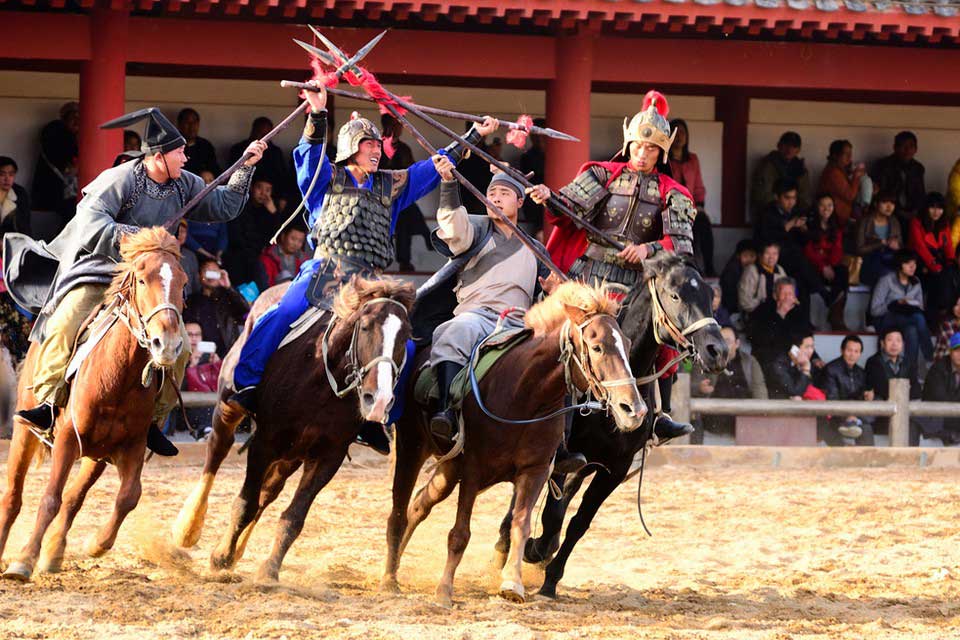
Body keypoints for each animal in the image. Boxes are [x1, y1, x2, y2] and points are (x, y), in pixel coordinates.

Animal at [0, 227, 188, 581]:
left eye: (183, 282)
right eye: (142, 278)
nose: (167, 343)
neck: (118, 378)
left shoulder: (131, 446)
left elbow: (128, 496)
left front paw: (95, 544)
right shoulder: (65, 440)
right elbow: (50, 497)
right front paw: (24, 560)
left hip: (96, 455)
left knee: (75, 497)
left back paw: (55, 553)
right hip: (24, 432)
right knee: (14, 496)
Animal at [175, 275, 415, 582]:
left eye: (405, 335)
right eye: (365, 326)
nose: (380, 399)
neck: (321, 382)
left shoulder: (329, 456)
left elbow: (294, 517)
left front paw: (269, 569)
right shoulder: (265, 441)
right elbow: (245, 504)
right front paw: (220, 558)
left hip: (292, 454)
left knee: (268, 492)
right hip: (229, 409)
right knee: (216, 454)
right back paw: (188, 528)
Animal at [381, 281, 648, 606]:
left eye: (627, 344)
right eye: (596, 347)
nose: (634, 409)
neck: (525, 395)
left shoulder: (535, 472)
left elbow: (520, 526)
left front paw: (512, 584)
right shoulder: (472, 470)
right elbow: (459, 534)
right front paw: (444, 590)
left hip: (448, 469)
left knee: (419, 504)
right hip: (412, 446)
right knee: (399, 509)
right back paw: (389, 575)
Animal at [496, 252, 730, 598]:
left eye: (708, 295)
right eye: (675, 296)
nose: (718, 351)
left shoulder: (615, 468)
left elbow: (579, 522)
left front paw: (550, 579)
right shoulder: (563, 457)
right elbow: (552, 513)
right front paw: (534, 550)